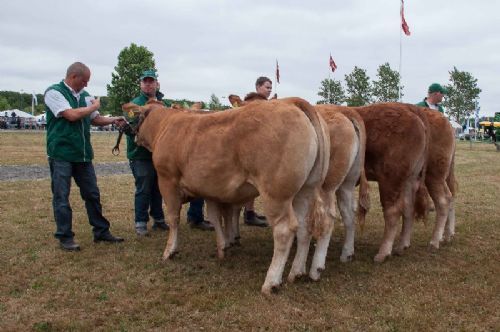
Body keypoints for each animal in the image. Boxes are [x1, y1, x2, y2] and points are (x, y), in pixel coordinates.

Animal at [123, 96, 330, 294]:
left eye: (137, 118)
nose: (130, 132)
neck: (165, 125)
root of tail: (291, 101)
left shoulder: (167, 180)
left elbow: (174, 218)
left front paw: (170, 251)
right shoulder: (210, 188)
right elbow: (215, 217)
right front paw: (223, 247)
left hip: (276, 193)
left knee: (284, 229)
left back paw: (271, 282)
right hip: (305, 190)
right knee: (304, 226)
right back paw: (296, 272)